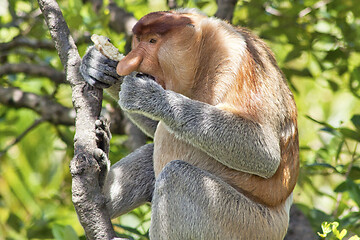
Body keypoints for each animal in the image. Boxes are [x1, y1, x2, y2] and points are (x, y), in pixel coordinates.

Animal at [80, 7, 300, 240]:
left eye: (152, 41)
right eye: (138, 40)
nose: (128, 63)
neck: (202, 56)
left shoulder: (235, 57)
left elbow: (265, 153)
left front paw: (148, 95)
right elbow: (156, 127)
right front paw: (97, 64)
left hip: (247, 224)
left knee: (176, 176)